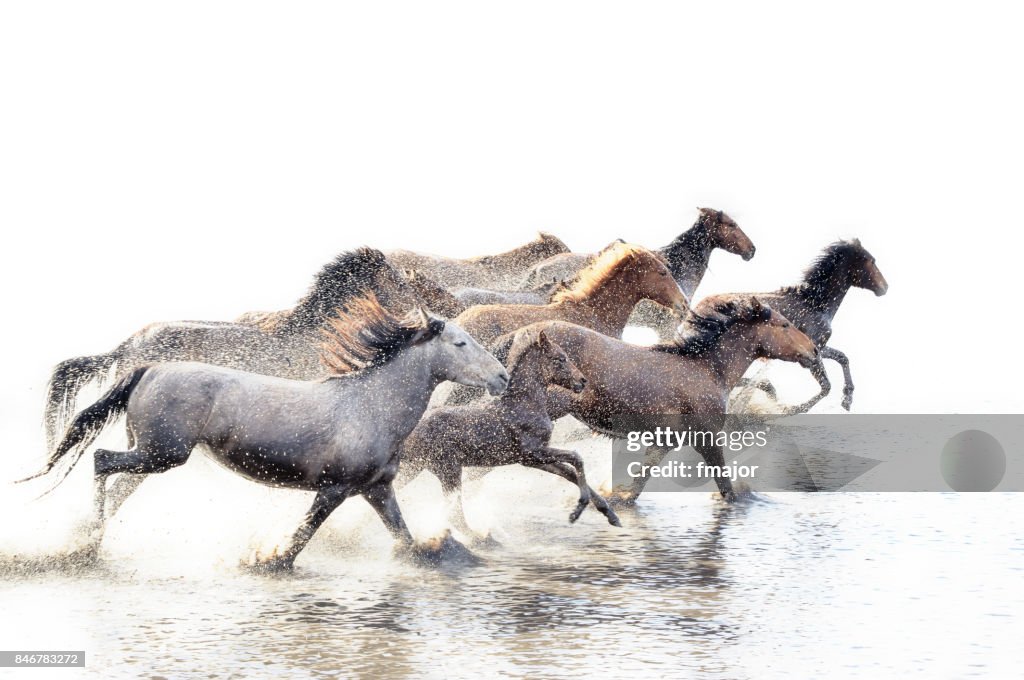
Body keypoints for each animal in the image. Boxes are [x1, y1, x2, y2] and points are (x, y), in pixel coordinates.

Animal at [19, 296, 507, 569]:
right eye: (461, 343)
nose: (502, 376)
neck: (371, 407)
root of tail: (148, 368)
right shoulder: (335, 489)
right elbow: (300, 539)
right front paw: (265, 561)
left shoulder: (377, 489)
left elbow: (405, 538)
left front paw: (451, 553)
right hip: (162, 453)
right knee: (101, 462)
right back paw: (82, 546)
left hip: (155, 455)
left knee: (118, 483)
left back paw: (88, 541)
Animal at [395, 327, 618, 532]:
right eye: (560, 358)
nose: (582, 381)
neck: (526, 403)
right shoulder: (534, 451)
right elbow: (576, 458)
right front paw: (577, 511)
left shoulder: (531, 459)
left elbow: (570, 473)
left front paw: (611, 515)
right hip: (448, 469)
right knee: (455, 516)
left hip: (415, 468)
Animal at [491, 296, 819, 503]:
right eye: (784, 325)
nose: (814, 350)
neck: (707, 370)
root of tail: (519, 334)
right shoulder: (708, 439)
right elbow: (727, 489)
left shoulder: (663, 442)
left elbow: (637, 487)